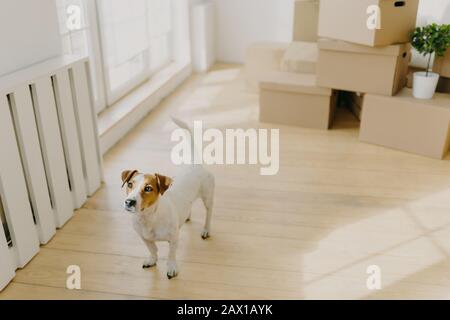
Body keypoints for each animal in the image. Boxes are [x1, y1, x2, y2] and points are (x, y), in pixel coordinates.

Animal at [121, 119, 214, 278]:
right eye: (130, 184)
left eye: (148, 188)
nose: (129, 202)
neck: (149, 218)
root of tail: (195, 165)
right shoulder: (144, 238)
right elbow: (152, 249)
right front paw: (152, 260)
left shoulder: (174, 238)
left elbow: (171, 254)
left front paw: (171, 268)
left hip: (208, 197)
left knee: (208, 214)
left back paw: (206, 230)